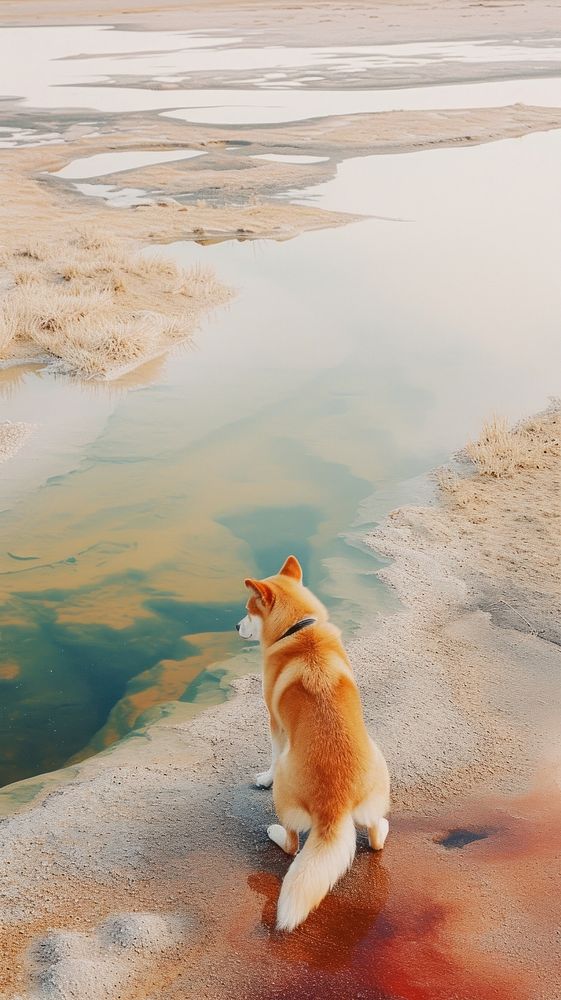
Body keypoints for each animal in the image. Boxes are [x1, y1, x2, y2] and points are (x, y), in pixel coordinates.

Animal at [236, 560, 390, 932]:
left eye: (248, 611)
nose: (234, 626)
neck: (298, 630)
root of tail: (334, 806)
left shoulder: (275, 723)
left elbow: (271, 755)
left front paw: (264, 777)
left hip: (285, 793)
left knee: (292, 846)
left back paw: (276, 832)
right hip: (379, 767)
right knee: (376, 838)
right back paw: (384, 827)